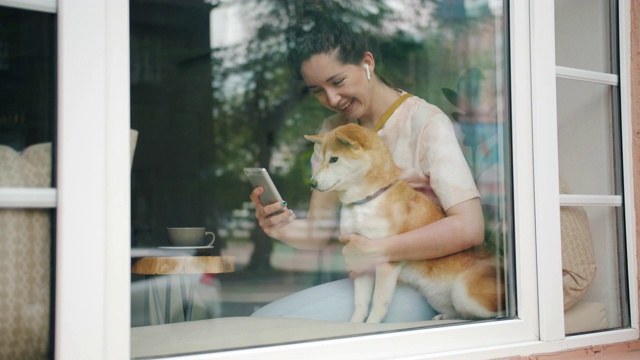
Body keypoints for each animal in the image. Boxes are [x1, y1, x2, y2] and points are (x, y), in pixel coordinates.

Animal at [302, 124, 502, 324]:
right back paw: (445, 316)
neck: (368, 200)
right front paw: (355, 325)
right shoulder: (362, 261)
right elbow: (360, 304)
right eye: (320, 160)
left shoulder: (384, 261)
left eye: (334, 159)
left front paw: (372, 325)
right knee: (461, 313)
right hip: (438, 297)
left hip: (463, 293)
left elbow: (378, 304)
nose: (311, 183)